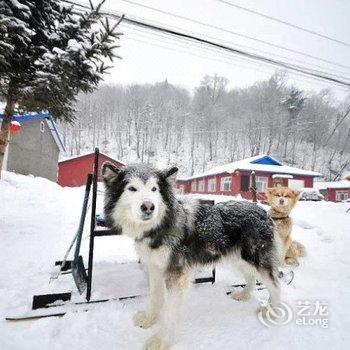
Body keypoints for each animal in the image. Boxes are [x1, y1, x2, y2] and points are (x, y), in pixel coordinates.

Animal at [101, 163, 282, 348]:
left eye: (154, 189)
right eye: (132, 188)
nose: (148, 206)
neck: (161, 226)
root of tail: (261, 210)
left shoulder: (177, 276)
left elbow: (170, 312)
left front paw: (161, 341)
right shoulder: (155, 268)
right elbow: (155, 297)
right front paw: (149, 319)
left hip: (256, 260)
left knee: (276, 285)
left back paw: (273, 311)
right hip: (239, 259)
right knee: (251, 277)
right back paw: (245, 295)